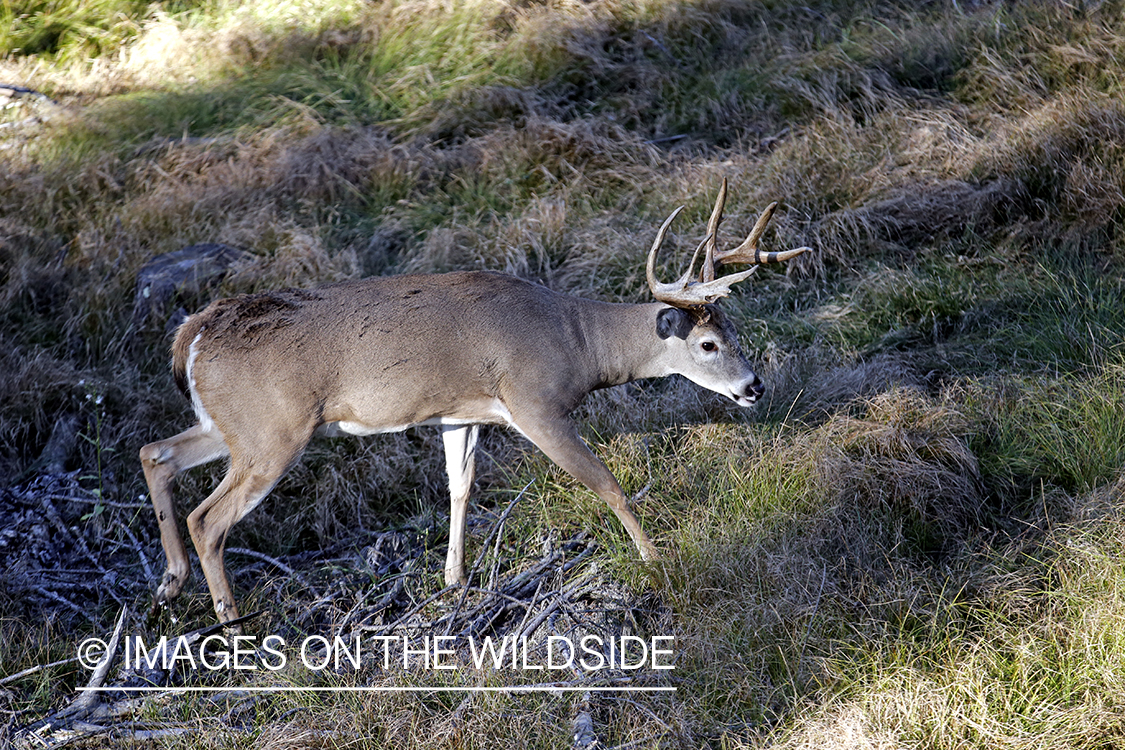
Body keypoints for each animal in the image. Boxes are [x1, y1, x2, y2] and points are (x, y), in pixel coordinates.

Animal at [140, 178, 810, 625]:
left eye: (736, 332)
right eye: (707, 343)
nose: (753, 387)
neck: (577, 342)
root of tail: (192, 330)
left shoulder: (460, 412)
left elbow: (459, 488)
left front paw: (455, 582)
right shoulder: (535, 403)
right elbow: (607, 484)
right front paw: (656, 559)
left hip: (232, 426)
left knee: (156, 453)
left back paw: (170, 584)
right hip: (274, 432)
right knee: (208, 519)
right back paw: (232, 624)